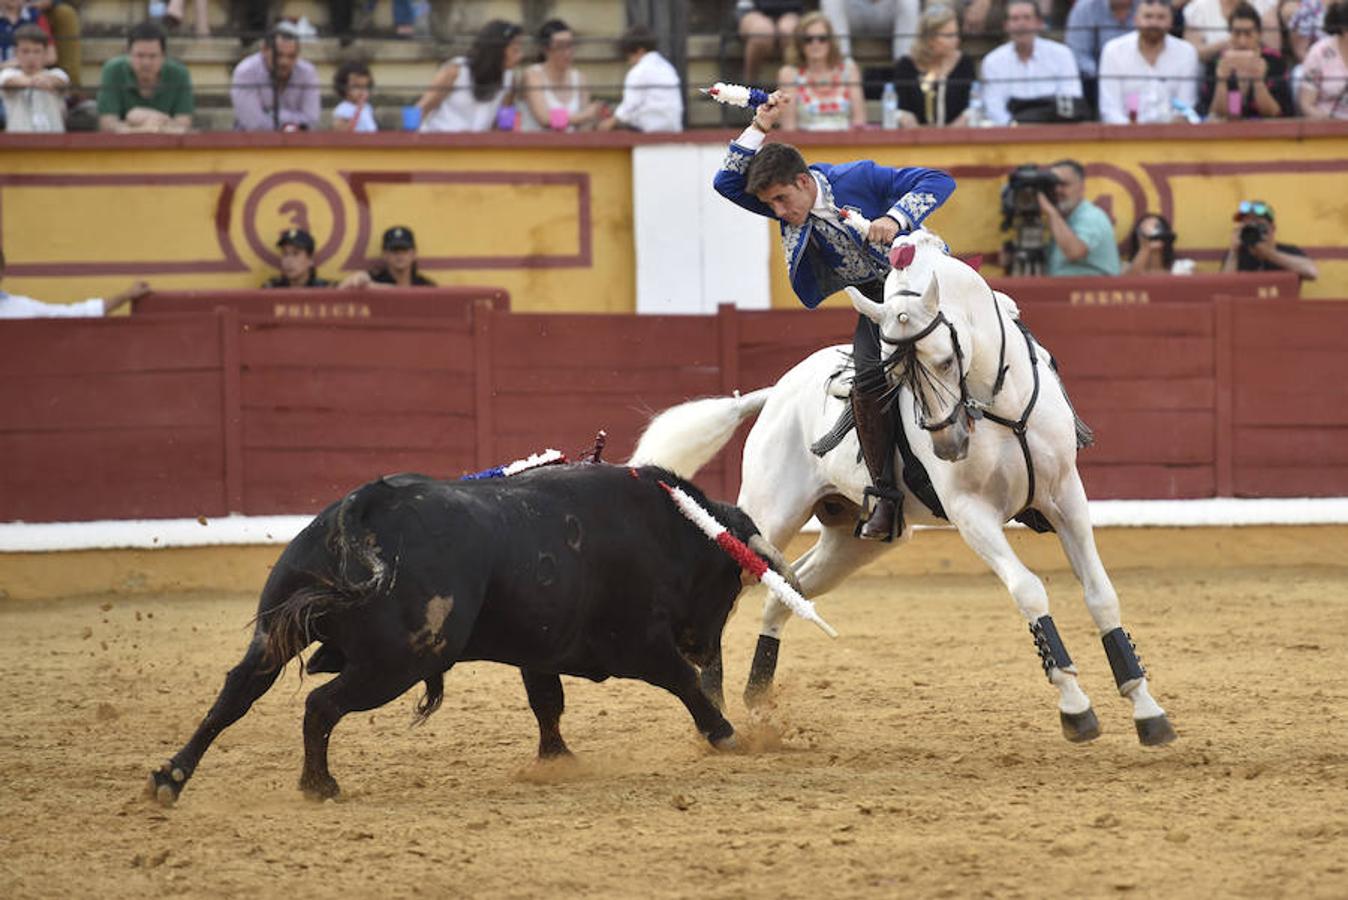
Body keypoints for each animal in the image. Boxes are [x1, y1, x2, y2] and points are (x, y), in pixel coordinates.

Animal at [147, 463, 787, 802]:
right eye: (731, 583)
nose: (703, 645)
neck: (664, 531)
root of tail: (364, 505)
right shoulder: (639, 644)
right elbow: (683, 684)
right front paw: (726, 734)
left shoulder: (542, 648)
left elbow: (546, 702)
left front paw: (556, 760)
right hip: (396, 662)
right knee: (320, 704)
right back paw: (318, 785)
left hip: (279, 628)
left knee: (236, 693)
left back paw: (170, 777)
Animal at [628, 231, 1170, 743]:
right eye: (891, 372)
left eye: (946, 359)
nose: (949, 445)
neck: (1001, 406)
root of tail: (777, 392)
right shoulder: (971, 513)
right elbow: (1029, 590)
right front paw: (1076, 709)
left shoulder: (1066, 497)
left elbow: (1101, 595)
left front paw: (1147, 711)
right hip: (768, 513)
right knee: (735, 581)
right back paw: (714, 700)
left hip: (856, 538)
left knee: (786, 589)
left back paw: (758, 698)